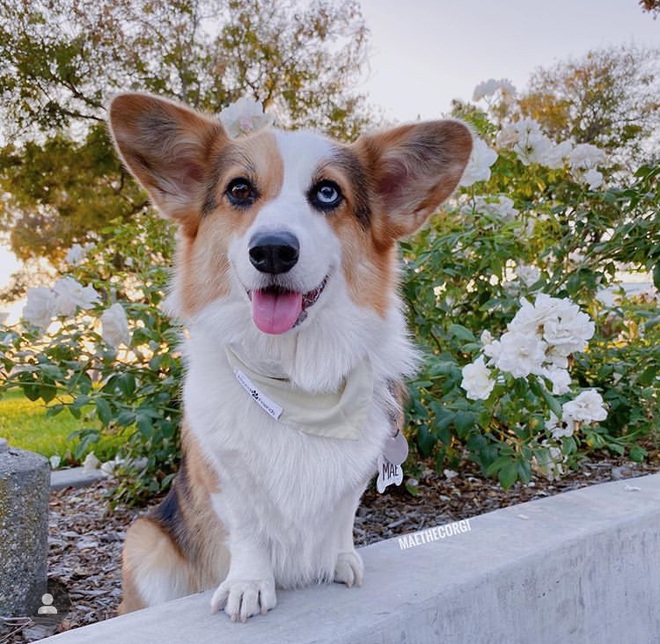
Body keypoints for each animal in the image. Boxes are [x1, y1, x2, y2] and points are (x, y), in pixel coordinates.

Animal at [107, 93, 470, 620]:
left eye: (328, 193)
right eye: (239, 190)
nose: (273, 251)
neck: (294, 380)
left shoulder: (353, 480)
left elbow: (341, 519)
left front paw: (341, 559)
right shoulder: (224, 479)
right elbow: (249, 531)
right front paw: (249, 586)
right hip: (145, 542)